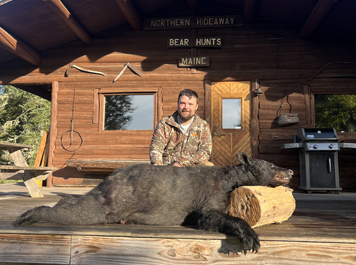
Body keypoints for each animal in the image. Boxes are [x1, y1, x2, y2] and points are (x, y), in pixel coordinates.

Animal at [13, 151, 292, 252]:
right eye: (271, 165)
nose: (289, 170)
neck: (229, 179)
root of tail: (110, 177)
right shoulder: (209, 201)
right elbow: (213, 216)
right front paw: (250, 237)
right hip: (112, 202)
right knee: (82, 212)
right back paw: (27, 215)